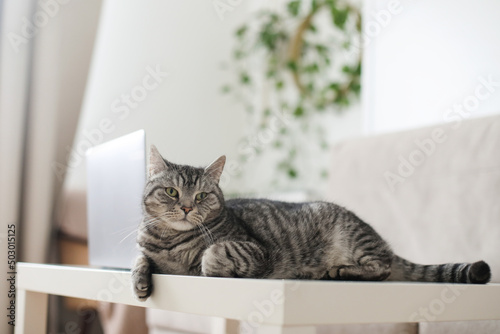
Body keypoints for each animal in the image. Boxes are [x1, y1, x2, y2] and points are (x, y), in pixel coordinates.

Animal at [131, 146, 490, 300]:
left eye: (203, 196)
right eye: (172, 191)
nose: (187, 207)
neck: (171, 243)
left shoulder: (256, 251)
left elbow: (214, 252)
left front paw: (206, 264)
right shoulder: (148, 250)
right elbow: (140, 259)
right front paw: (140, 281)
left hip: (353, 237)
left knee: (383, 268)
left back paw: (338, 271)